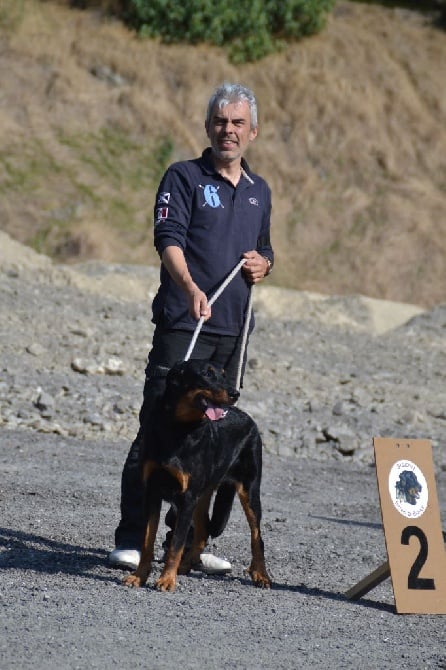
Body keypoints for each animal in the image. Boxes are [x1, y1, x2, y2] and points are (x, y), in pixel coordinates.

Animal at [123, 362, 272, 592]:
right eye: (206, 374)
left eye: (224, 375)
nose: (235, 393)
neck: (178, 428)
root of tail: (248, 418)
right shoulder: (152, 493)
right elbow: (147, 541)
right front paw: (139, 577)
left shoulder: (187, 498)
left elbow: (175, 545)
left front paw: (166, 580)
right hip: (203, 495)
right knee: (202, 533)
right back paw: (186, 565)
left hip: (249, 490)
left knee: (257, 537)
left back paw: (261, 575)